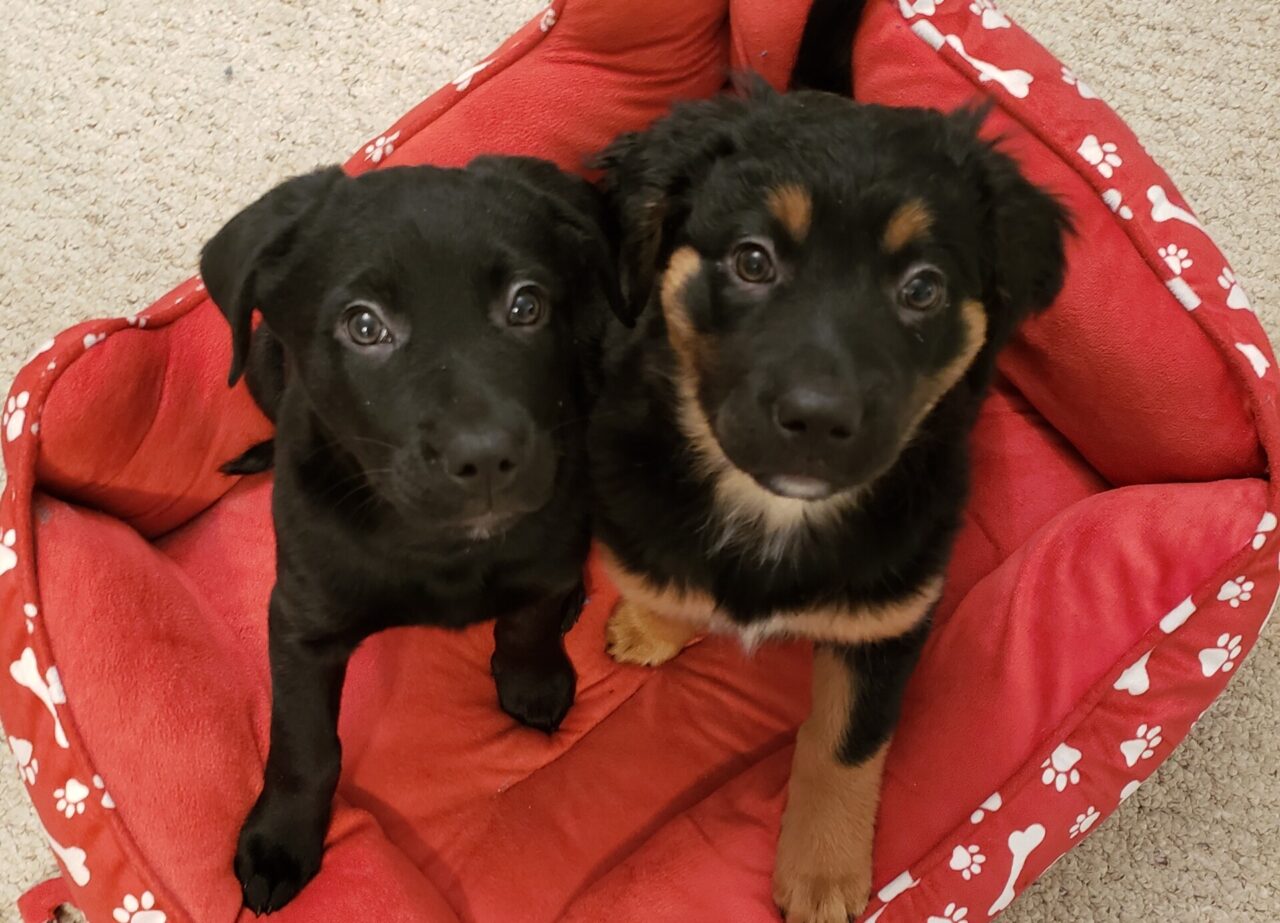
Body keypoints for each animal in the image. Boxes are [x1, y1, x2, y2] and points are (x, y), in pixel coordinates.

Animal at [200, 154, 629, 911]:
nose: (485, 457)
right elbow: (304, 746)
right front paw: (280, 841)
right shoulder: (301, 620)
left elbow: (527, 618)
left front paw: (533, 680)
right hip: (255, 362)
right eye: (364, 326)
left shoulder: (546, 548)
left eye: (526, 305)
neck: (439, 546)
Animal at [588, 82, 1070, 916]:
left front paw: (822, 873)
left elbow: (844, 744)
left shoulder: (889, 616)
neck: (774, 509)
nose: (817, 418)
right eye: (752, 260)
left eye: (923, 287)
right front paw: (651, 625)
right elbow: (662, 578)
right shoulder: (632, 508)